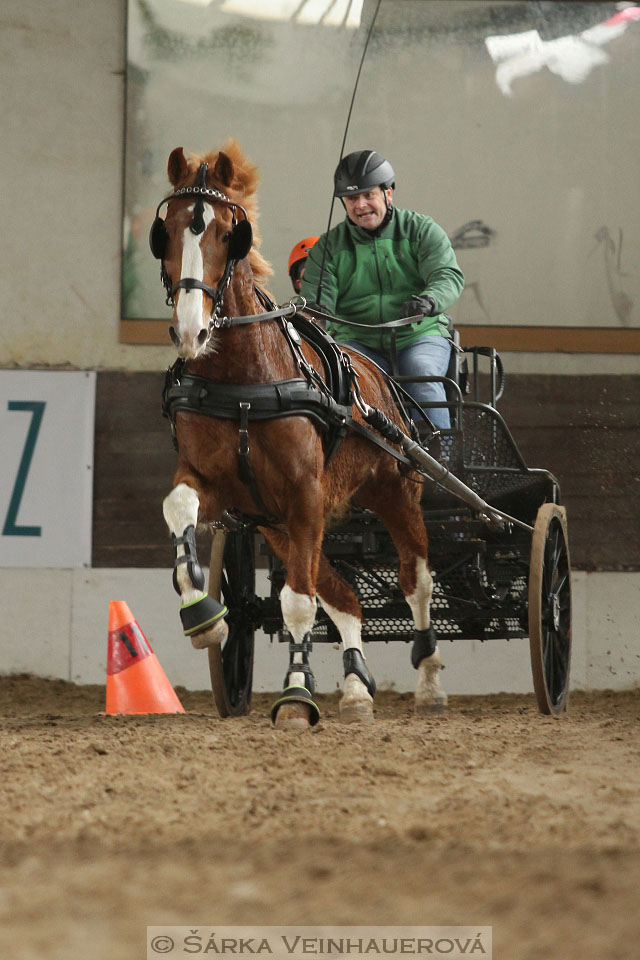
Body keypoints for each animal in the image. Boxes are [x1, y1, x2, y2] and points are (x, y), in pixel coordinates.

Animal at [152, 141, 448, 728]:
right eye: (166, 230)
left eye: (229, 232)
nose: (191, 330)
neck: (245, 382)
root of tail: (377, 375)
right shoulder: (224, 488)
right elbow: (179, 508)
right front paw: (202, 611)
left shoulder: (306, 492)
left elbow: (297, 602)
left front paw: (294, 694)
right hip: (274, 525)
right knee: (345, 595)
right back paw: (355, 689)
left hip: (395, 491)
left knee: (416, 580)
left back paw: (428, 678)